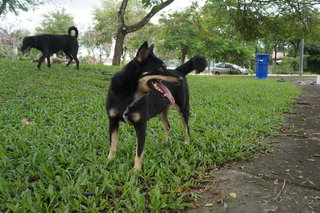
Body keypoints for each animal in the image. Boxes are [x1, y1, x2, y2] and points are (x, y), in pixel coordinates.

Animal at [105, 42, 208, 171]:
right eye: (160, 68)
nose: (179, 79)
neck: (128, 93)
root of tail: (178, 70)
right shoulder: (113, 121)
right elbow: (113, 144)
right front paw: (110, 160)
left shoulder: (141, 126)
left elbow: (139, 152)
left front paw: (136, 171)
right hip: (162, 111)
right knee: (168, 126)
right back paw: (164, 142)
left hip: (183, 108)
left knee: (186, 129)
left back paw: (187, 144)